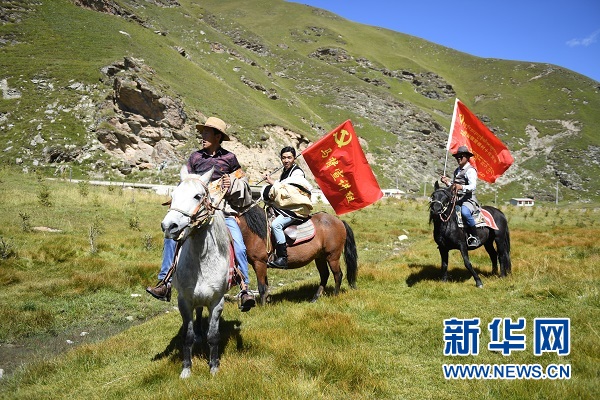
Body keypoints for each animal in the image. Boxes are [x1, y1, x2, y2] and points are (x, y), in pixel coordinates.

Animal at [160, 166, 231, 378]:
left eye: (198, 196)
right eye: (173, 195)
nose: (169, 226)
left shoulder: (217, 301)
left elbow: (214, 335)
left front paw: (214, 367)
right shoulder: (184, 300)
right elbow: (188, 336)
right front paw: (186, 369)